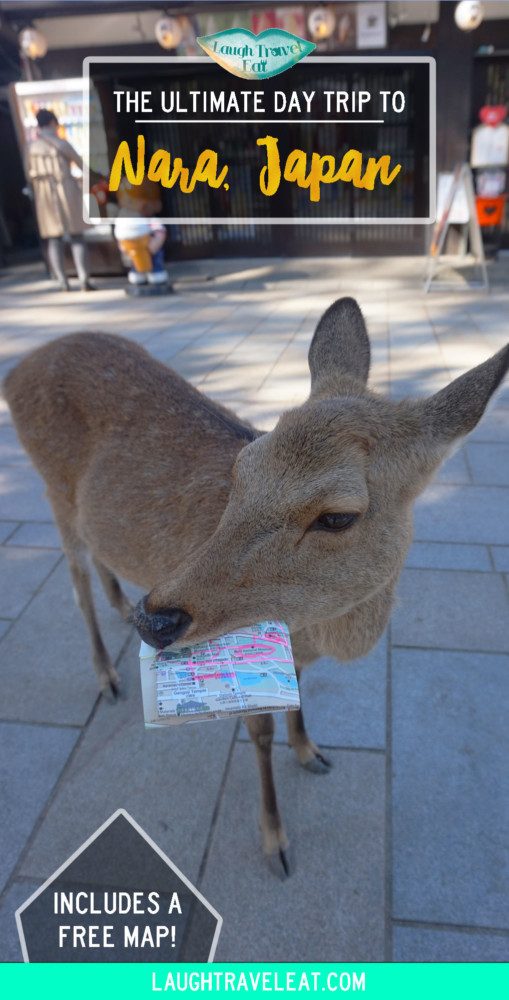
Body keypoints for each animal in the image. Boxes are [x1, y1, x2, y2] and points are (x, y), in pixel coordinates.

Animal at [3, 298, 508, 877]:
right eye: (243, 467)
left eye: (337, 517)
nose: (154, 619)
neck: (317, 631)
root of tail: (16, 370)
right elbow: (261, 735)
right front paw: (276, 842)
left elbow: (296, 701)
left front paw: (311, 752)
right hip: (52, 488)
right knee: (75, 577)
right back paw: (107, 674)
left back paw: (119, 603)